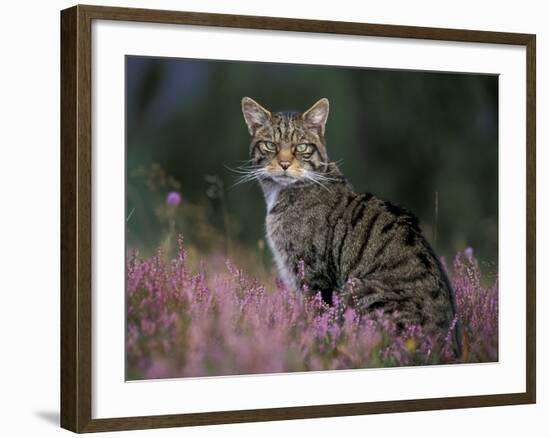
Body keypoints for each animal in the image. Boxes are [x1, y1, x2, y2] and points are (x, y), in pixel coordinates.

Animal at [242, 96, 462, 356]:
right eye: (270, 146)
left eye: (302, 147)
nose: (284, 163)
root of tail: (446, 348)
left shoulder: (314, 278)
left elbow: (316, 319)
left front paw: (310, 345)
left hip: (357, 289)